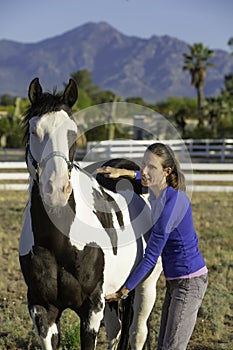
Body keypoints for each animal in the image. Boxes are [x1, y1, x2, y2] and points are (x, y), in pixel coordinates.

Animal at [18, 78, 162, 350]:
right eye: (34, 131)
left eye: (73, 133)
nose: (55, 189)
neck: (59, 242)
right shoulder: (43, 310)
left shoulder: (92, 308)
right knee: (117, 331)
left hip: (146, 287)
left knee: (137, 333)